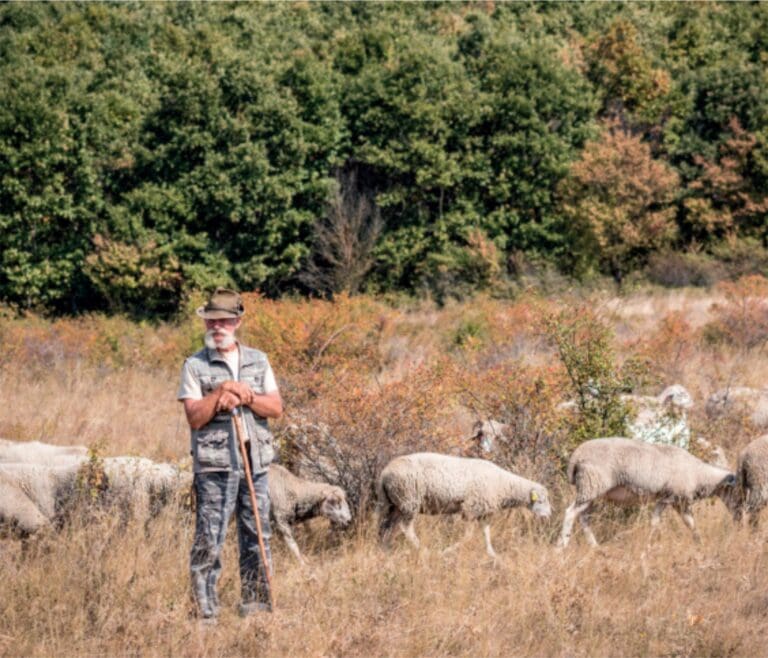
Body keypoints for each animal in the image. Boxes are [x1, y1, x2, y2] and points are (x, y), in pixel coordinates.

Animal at [376, 452, 544, 560]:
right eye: (542, 500)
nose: (546, 516)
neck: (503, 484)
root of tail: (384, 474)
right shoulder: (470, 509)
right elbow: (468, 536)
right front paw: (446, 551)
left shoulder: (482, 513)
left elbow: (485, 533)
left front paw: (492, 554)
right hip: (408, 500)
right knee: (406, 528)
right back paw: (423, 550)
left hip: (394, 504)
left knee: (385, 527)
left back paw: (384, 549)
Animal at [560, 434, 736, 544]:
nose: (739, 514)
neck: (699, 474)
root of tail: (575, 457)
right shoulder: (669, 497)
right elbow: (655, 523)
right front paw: (649, 545)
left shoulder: (679, 502)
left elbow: (690, 524)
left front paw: (699, 543)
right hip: (591, 486)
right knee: (570, 513)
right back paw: (561, 547)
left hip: (592, 491)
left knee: (583, 518)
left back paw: (595, 547)